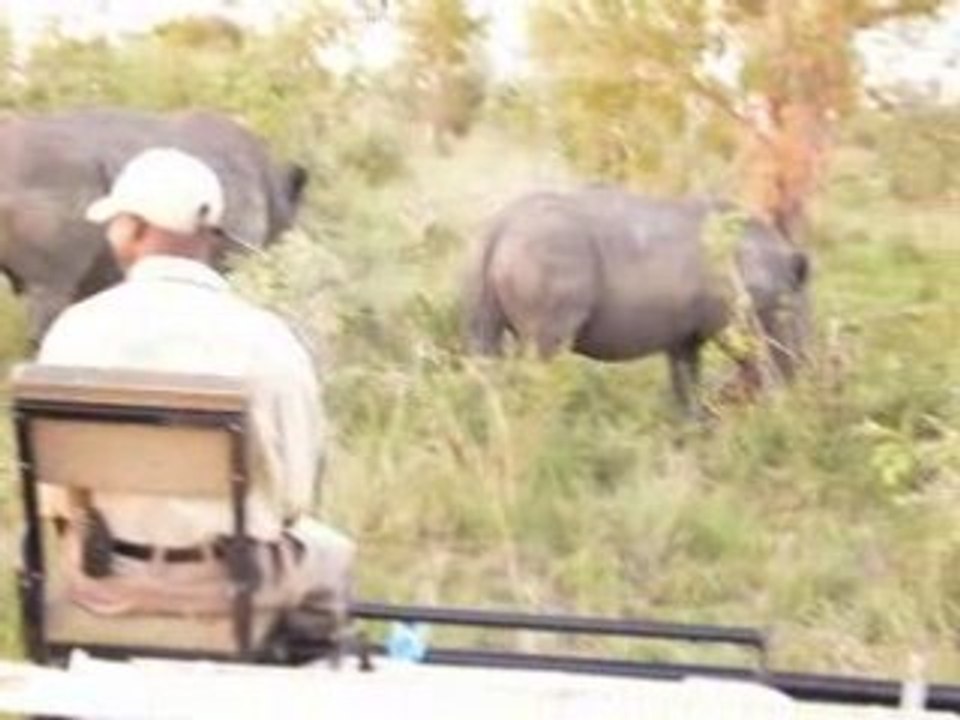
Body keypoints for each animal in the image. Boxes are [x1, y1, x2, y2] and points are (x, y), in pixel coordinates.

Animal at [464, 186, 812, 413]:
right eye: (793, 322)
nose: (805, 368)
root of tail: (499, 225)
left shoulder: (684, 336)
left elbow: (686, 381)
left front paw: (692, 429)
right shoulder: (739, 316)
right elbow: (751, 354)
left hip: (487, 257)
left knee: (484, 350)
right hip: (546, 252)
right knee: (544, 354)